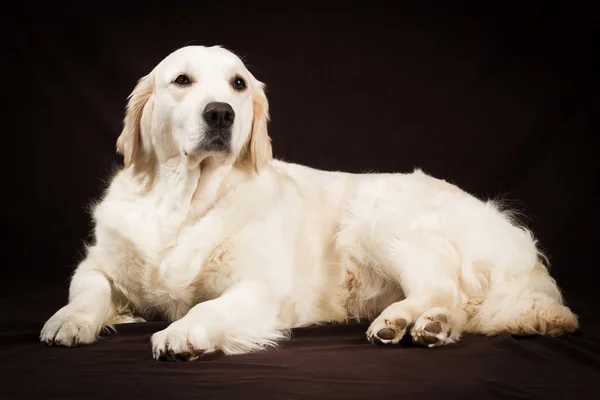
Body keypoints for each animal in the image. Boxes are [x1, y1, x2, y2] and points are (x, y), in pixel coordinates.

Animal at [39, 44, 580, 360]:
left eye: (238, 84)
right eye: (182, 81)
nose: (221, 113)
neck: (184, 201)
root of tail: (519, 245)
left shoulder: (261, 287)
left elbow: (209, 307)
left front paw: (182, 332)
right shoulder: (97, 264)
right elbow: (86, 291)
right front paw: (68, 321)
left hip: (375, 218)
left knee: (445, 289)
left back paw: (409, 321)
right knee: (458, 306)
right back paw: (431, 325)